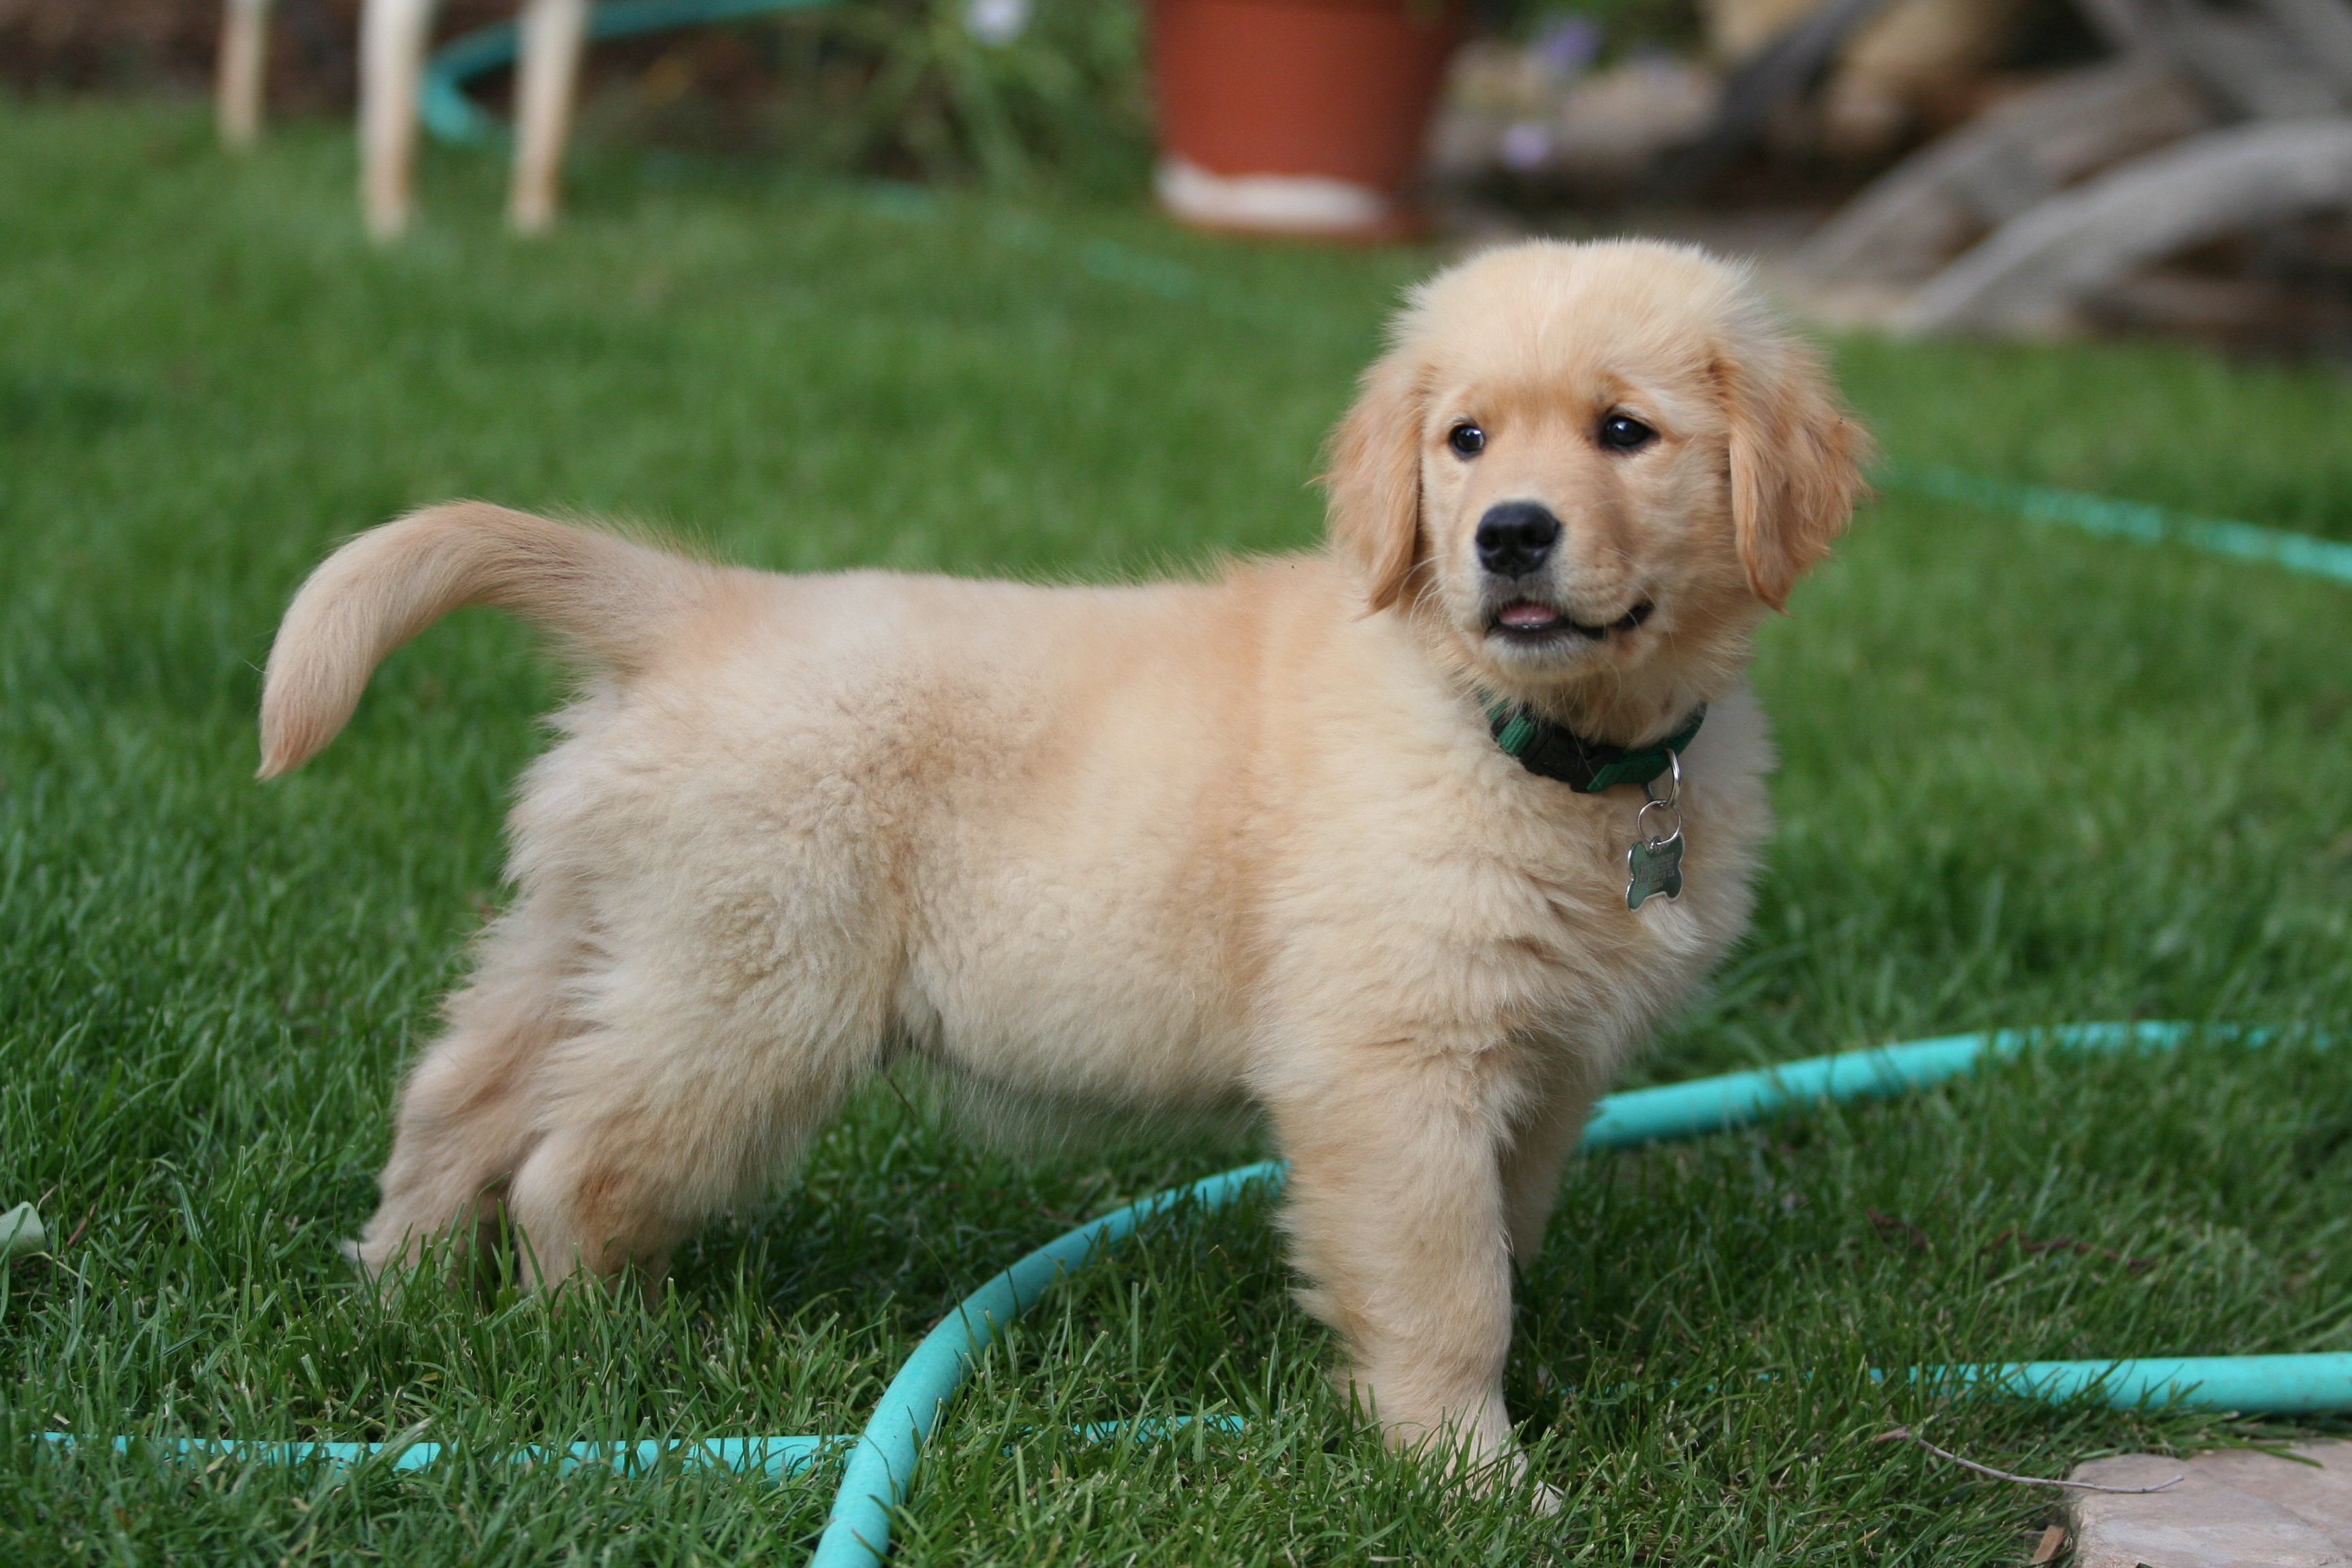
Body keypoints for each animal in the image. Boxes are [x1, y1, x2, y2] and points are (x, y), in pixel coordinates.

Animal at [257, 240, 1863, 1494]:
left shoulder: (1545, 1066)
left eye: (1624, 430)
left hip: (601, 928)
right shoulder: (1395, 1064)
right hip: (750, 996)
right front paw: (1471, 1481)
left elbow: (1504, 1236)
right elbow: (1446, 1284)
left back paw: (400, 1293)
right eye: (1464, 441)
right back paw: (604, 1362)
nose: (1509, 536)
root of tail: (707, 605)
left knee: (460, 1095)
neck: (1533, 734)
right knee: (571, 1170)